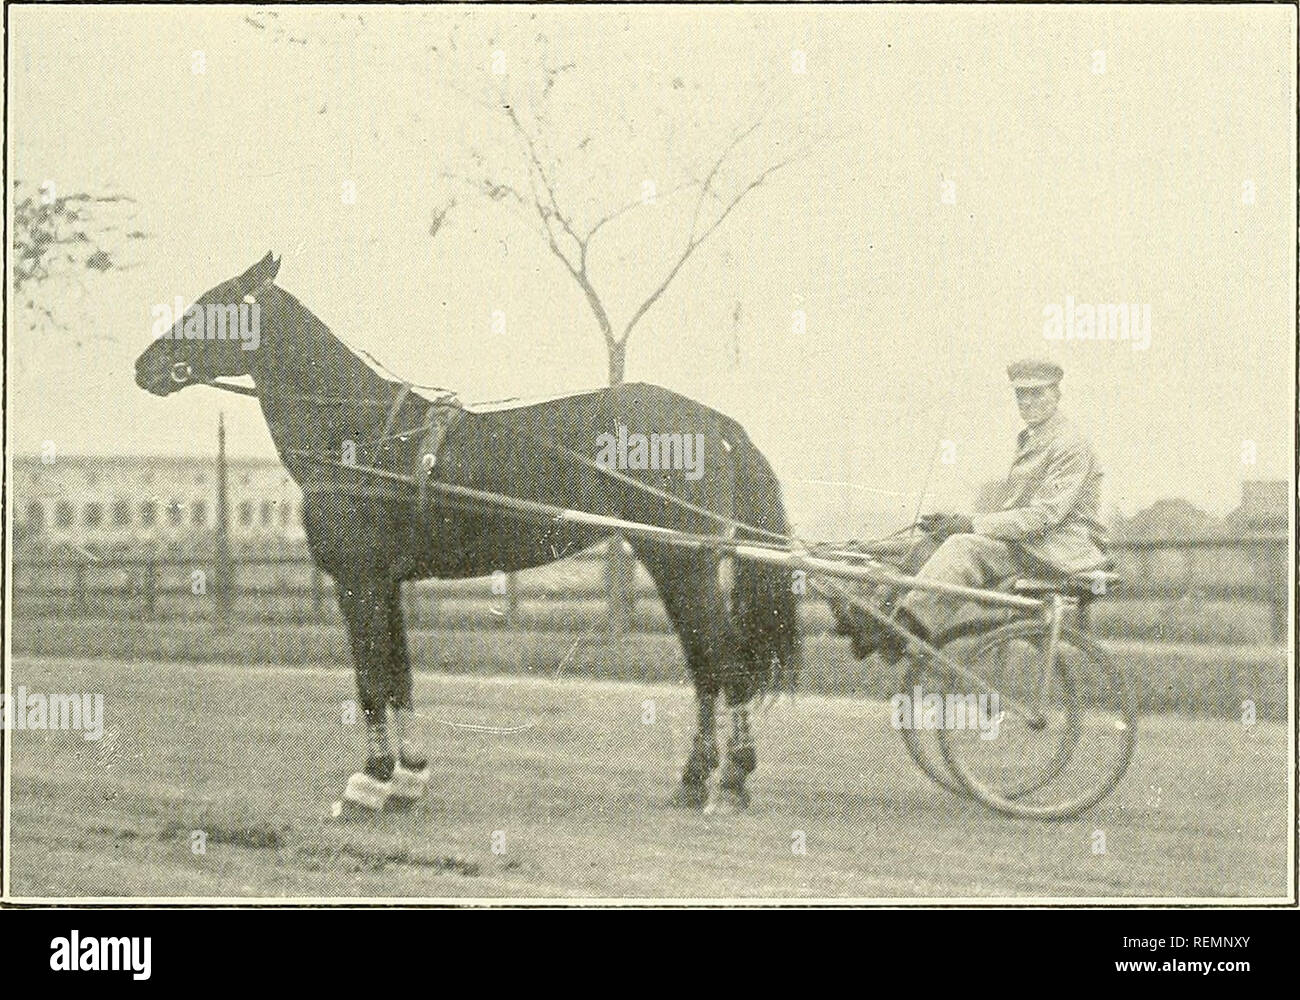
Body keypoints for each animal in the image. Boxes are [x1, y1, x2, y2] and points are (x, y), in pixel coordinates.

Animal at [134, 253, 800, 816]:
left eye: (215, 304)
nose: (144, 366)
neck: (362, 433)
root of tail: (714, 423)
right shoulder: (387, 583)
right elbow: (398, 674)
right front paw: (408, 777)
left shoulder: (359, 579)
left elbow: (371, 678)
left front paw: (372, 780)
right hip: (673, 561)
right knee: (706, 665)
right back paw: (699, 778)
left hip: (682, 562)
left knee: (725, 662)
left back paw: (728, 781)